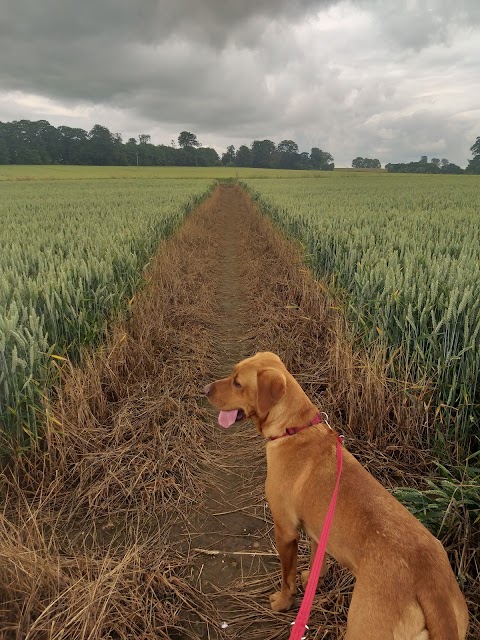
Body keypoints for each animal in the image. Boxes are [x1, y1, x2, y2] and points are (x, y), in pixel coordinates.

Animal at [205, 352, 468, 636]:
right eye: (232, 374)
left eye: (238, 383)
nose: (205, 389)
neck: (294, 428)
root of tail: (431, 587)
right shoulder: (317, 529)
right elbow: (317, 559)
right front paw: (312, 579)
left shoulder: (285, 530)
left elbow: (287, 576)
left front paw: (284, 601)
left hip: (363, 629)